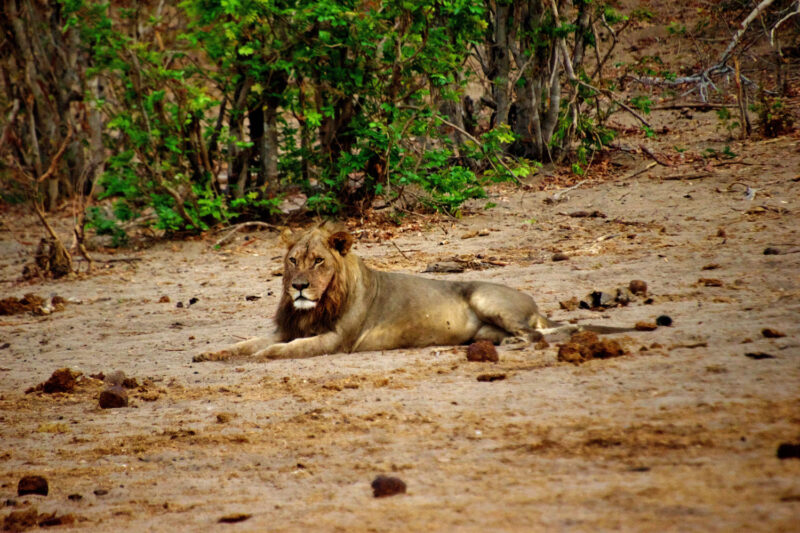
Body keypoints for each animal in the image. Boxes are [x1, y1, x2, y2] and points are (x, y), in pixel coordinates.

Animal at [194, 220, 632, 362]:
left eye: (318, 261)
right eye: (292, 260)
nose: (299, 286)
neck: (311, 308)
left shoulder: (337, 340)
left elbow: (285, 349)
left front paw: (263, 356)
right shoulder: (284, 328)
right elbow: (243, 343)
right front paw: (209, 354)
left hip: (488, 299)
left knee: (550, 332)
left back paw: (519, 343)